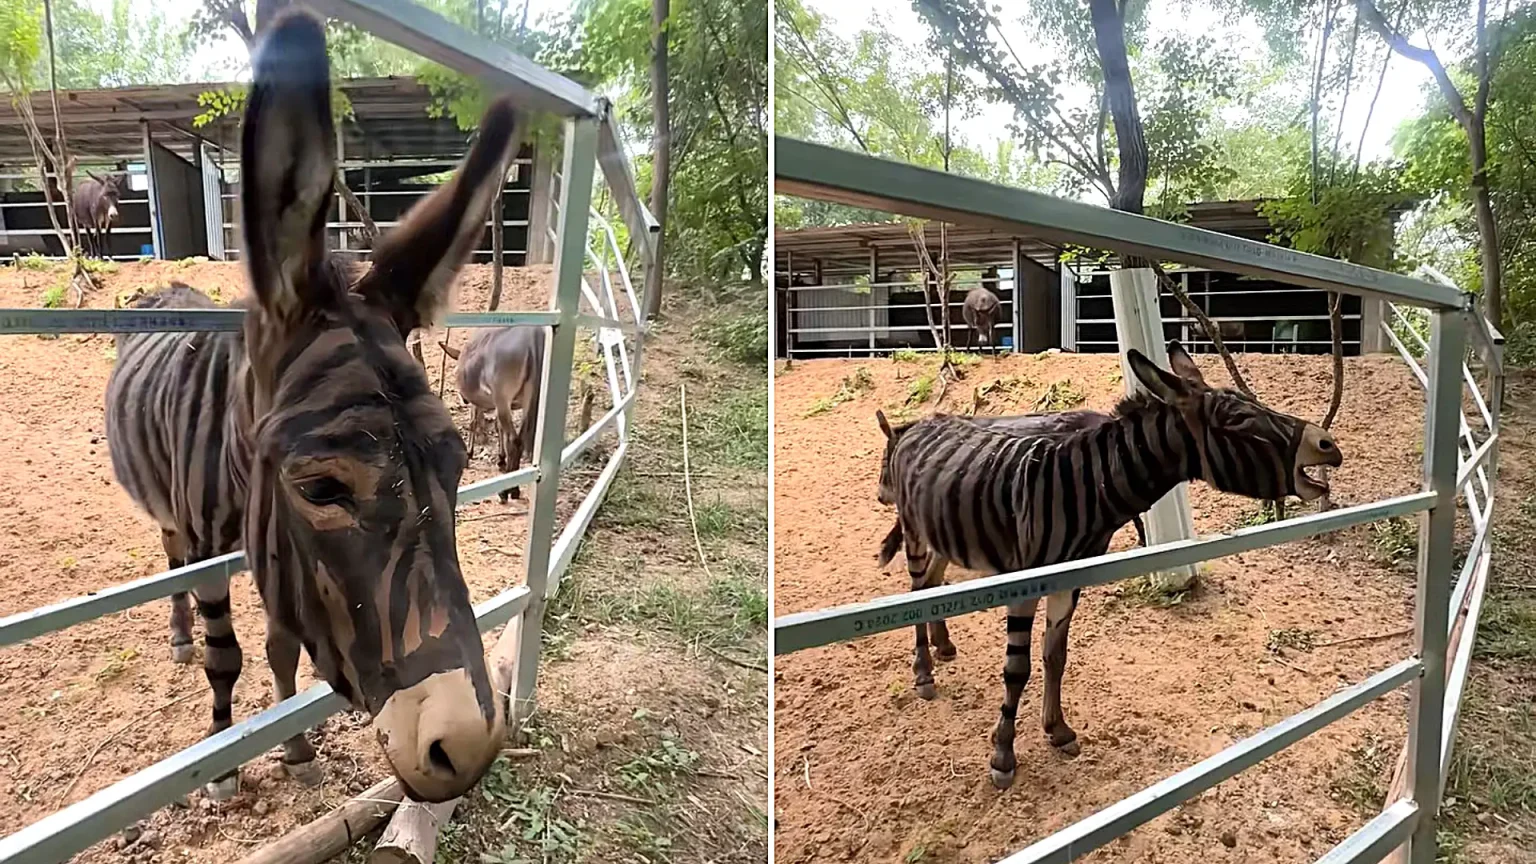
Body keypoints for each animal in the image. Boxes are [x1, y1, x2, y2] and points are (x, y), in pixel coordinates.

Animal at [103, 9, 518, 803]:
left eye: (458, 464)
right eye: (321, 488)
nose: (471, 748)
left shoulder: (279, 554)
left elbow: (281, 646)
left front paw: (294, 748)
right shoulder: (219, 547)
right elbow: (228, 656)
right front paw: (223, 765)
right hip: (172, 520)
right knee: (171, 558)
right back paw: (179, 636)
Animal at [874, 342, 1342, 789]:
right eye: (1240, 420)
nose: (1328, 444)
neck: (1087, 487)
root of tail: (918, 424)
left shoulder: (1070, 580)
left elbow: (1055, 655)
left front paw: (1057, 730)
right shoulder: (1026, 584)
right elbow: (1016, 669)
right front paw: (1003, 756)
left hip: (944, 532)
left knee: (935, 584)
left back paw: (943, 646)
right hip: (915, 532)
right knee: (917, 591)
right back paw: (923, 673)